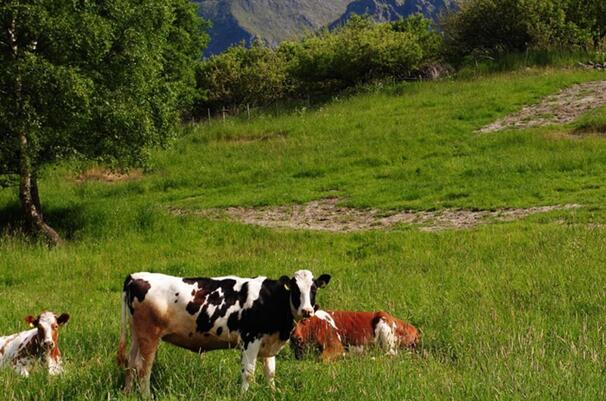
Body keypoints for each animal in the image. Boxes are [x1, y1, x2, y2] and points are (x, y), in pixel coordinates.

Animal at [116, 268, 330, 396]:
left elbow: (270, 372)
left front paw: (272, 393)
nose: (307, 311)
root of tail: (135, 276)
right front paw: (245, 395)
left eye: (314, 289)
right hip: (149, 335)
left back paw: (127, 393)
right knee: (143, 368)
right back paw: (146, 396)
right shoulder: (250, 340)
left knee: (130, 363)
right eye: (295, 289)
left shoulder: (268, 342)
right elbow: (248, 372)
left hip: (137, 334)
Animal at [292, 310, 420, 360]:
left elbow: (321, 359)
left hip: (384, 325)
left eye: (304, 320)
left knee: (390, 354)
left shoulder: (335, 345)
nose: (295, 338)